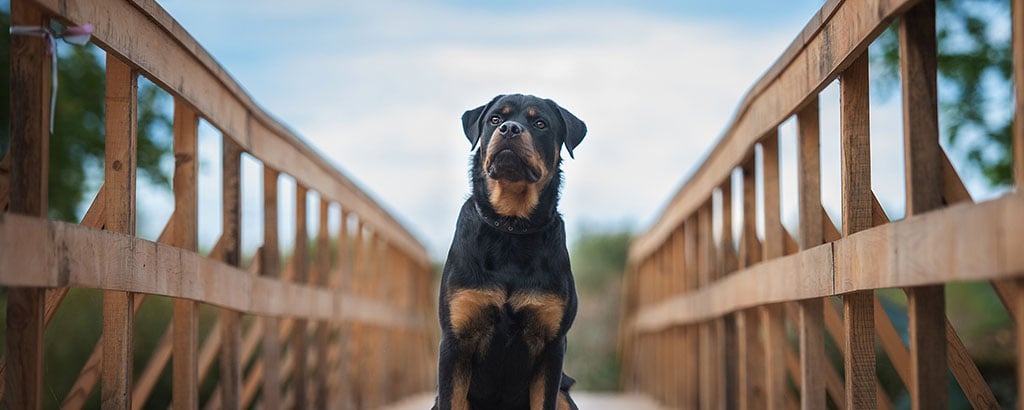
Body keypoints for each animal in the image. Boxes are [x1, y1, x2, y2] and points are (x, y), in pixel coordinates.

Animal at [432, 93, 589, 410]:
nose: (509, 129)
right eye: (495, 119)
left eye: (540, 123)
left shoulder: (552, 347)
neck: (511, 227)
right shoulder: (455, 343)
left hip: (564, 395)